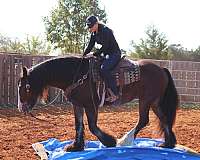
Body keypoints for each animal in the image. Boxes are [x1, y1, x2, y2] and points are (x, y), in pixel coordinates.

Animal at [17, 55, 179, 151]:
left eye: (26, 87)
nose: (21, 108)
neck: (77, 74)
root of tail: (162, 69)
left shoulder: (91, 106)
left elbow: (92, 126)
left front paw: (110, 142)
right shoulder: (77, 104)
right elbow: (79, 125)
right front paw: (75, 146)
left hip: (146, 100)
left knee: (143, 120)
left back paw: (124, 141)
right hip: (155, 102)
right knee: (164, 119)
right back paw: (168, 144)